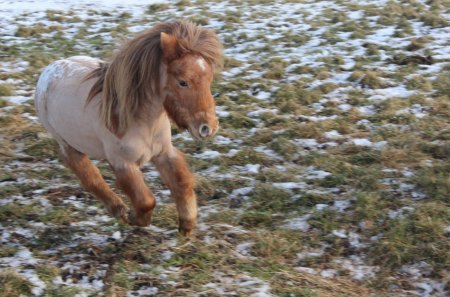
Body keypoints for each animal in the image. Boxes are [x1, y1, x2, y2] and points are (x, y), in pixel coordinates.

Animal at [34, 19, 223, 235]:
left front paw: (186, 226)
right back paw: (119, 210)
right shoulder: (123, 164)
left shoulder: (164, 153)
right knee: (89, 176)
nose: (208, 128)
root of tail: (49, 69)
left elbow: (182, 182)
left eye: (209, 79)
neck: (142, 122)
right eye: (183, 82)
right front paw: (134, 218)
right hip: (68, 144)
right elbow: (145, 201)